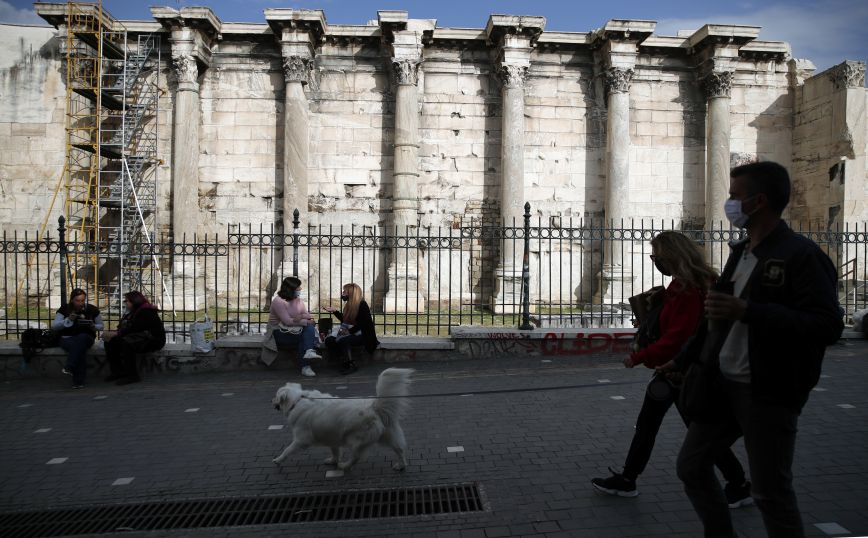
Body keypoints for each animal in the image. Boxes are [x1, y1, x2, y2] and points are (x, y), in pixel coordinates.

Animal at [274, 364, 418, 468]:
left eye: (276, 397)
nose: (271, 401)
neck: (297, 400)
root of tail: (374, 406)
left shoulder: (301, 440)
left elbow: (287, 450)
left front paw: (278, 459)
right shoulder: (331, 437)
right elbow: (335, 451)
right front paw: (333, 461)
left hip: (354, 439)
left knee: (356, 457)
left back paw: (344, 466)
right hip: (389, 435)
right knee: (400, 449)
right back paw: (401, 465)